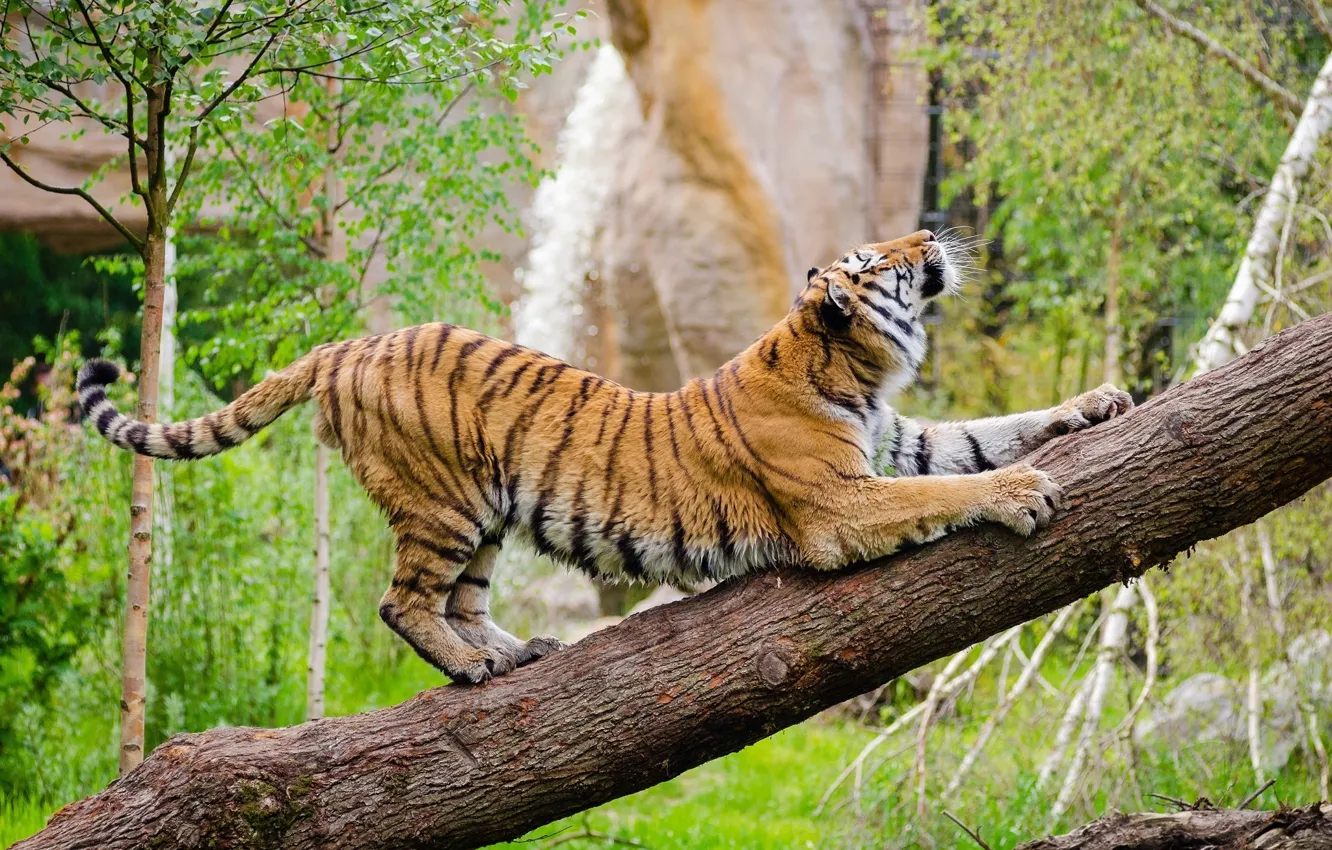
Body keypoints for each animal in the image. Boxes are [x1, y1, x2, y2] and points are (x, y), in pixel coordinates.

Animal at [77, 231, 1129, 687]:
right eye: (881, 262)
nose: (932, 232)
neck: (855, 367)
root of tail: (347, 344)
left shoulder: (895, 442)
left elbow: (984, 432)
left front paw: (1096, 402)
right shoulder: (838, 504)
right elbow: (956, 481)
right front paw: (1024, 493)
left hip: (489, 515)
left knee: (464, 599)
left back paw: (513, 652)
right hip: (445, 503)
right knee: (401, 601)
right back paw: (472, 670)